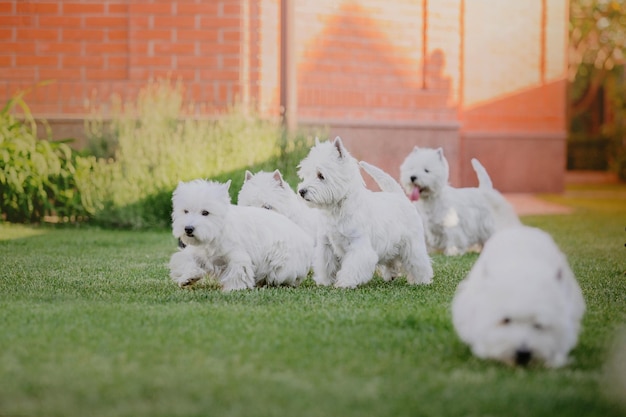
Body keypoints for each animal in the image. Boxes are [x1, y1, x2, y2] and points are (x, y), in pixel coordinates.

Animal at [167, 178, 312, 290]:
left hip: (282, 266)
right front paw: (187, 278)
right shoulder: (196, 253)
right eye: (185, 211)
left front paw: (233, 288)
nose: (188, 229)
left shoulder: (236, 256)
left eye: (205, 212)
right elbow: (187, 262)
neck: (214, 235)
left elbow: (237, 273)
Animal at [294, 138, 432, 288]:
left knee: (418, 261)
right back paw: (391, 275)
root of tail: (399, 195)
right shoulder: (326, 245)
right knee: (392, 260)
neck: (337, 210)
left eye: (321, 175)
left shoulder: (358, 244)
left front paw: (345, 283)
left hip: (412, 243)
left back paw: (422, 280)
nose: (301, 191)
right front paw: (324, 281)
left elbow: (353, 266)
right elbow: (326, 265)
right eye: (306, 174)